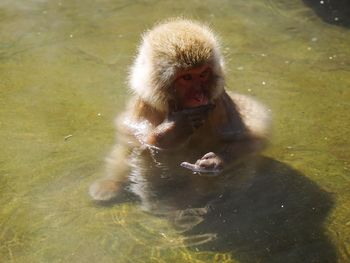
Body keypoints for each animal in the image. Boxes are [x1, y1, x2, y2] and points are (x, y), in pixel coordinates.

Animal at [89, 18, 270, 203]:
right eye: (187, 77)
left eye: (203, 74)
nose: (200, 97)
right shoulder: (144, 106)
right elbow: (134, 140)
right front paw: (171, 130)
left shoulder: (220, 103)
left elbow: (249, 140)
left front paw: (215, 161)